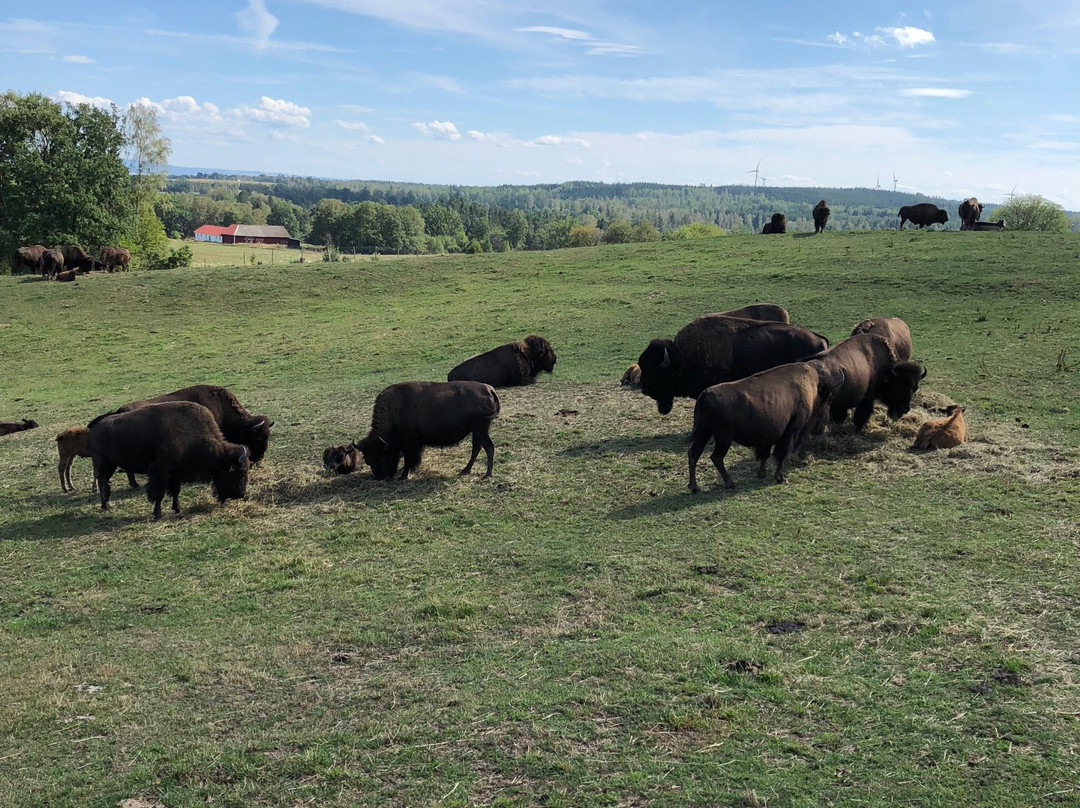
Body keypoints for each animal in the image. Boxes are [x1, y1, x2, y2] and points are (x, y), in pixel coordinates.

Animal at [89, 401, 250, 520]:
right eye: (238, 471)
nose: (241, 494)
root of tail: (96, 425)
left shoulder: (176, 473)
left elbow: (175, 491)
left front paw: (178, 510)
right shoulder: (161, 471)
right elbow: (159, 493)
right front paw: (157, 514)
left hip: (110, 465)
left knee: (104, 482)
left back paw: (105, 506)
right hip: (104, 464)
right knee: (103, 483)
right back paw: (107, 507)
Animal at [358, 380, 501, 479]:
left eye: (381, 457)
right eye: (368, 461)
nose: (381, 478)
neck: (395, 411)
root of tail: (489, 389)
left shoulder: (410, 444)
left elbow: (409, 460)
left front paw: (403, 476)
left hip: (481, 430)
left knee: (488, 447)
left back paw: (487, 475)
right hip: (477, 431)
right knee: (477, 447)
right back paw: (465, 470)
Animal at [686, 360, 846, 488]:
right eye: (829, 398)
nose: (821, 427)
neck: (812, 389)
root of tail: (705, 393)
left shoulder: (769, 435)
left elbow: (765, 454)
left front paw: (762, 473)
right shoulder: (790, 432)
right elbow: (781, 454)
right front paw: (780, 478)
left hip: (705, 432)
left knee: (694, 453)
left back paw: (694, 487)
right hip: (723, 438)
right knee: (716, 457)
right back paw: (730, 483)